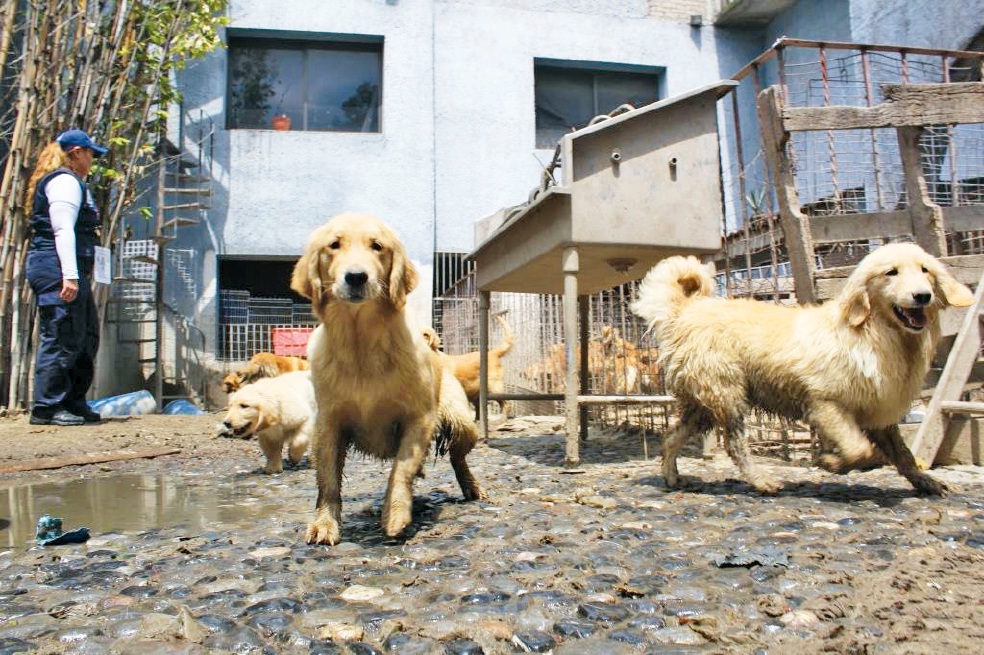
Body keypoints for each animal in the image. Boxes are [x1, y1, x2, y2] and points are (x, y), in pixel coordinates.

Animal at [288, 213, 484, 544]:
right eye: (334, 245)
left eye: (377, 246)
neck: (362, 346)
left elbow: (401, 469)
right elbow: (327, 480)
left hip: (462, 423)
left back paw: (471, 487)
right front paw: (324, 523)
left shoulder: (419, 418)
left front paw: (395, 514)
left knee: (458, 458)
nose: (356, 277)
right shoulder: (328, 422)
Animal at [632, 243, 976, 494]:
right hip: (728, 395)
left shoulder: (881, 415)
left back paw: (672, 478)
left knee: (671, 438)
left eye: (925, 270)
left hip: (702, 405)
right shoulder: (825, 405)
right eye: (891, 272)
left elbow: (903, 456)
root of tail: (687, 311)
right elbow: (860, 451)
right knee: (735, 444)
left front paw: (926, 482)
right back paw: (762, 481)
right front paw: (830, 462)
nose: (922, 296)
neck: (874, 336)